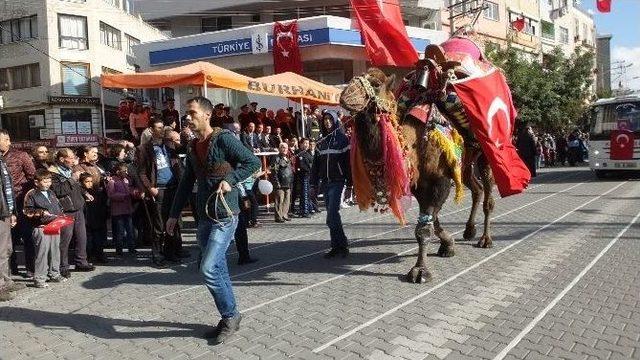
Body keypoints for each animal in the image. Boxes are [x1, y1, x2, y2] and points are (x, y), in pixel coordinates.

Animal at [340, 36, 528, 284]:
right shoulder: (421, 182)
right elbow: (432, 220)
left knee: (488, 195)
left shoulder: (438, 179)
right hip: (463, 161)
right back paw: (469, 230)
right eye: (353, 79)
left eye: (376, 84)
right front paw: (448, 245)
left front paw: (420, 270)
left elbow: (425, 226)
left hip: (486, 152)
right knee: (476, 188)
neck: (414, 140)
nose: (345, 96)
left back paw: (485, 239)